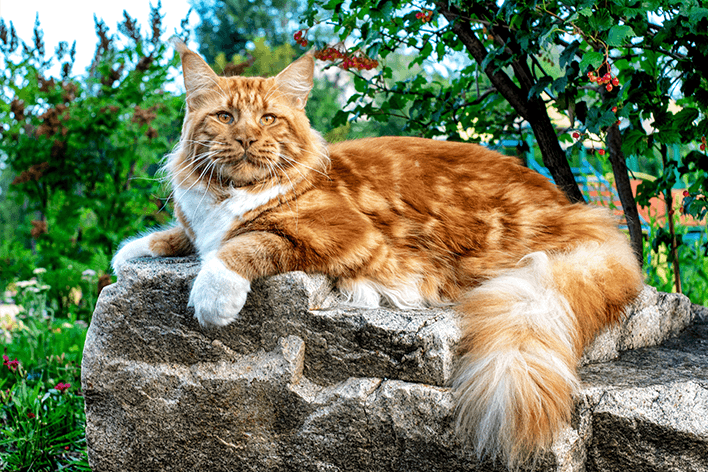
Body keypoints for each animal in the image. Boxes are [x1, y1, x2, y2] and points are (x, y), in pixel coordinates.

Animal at [109, 40, 640, 468]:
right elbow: (185, 235)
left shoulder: (343, 234)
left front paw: (212, 296)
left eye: (267, 118)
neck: (230, 194)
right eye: (224, 117)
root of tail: (579, 212)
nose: (246, 138)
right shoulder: (201, 222)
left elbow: (245, 243)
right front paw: (136, 249)